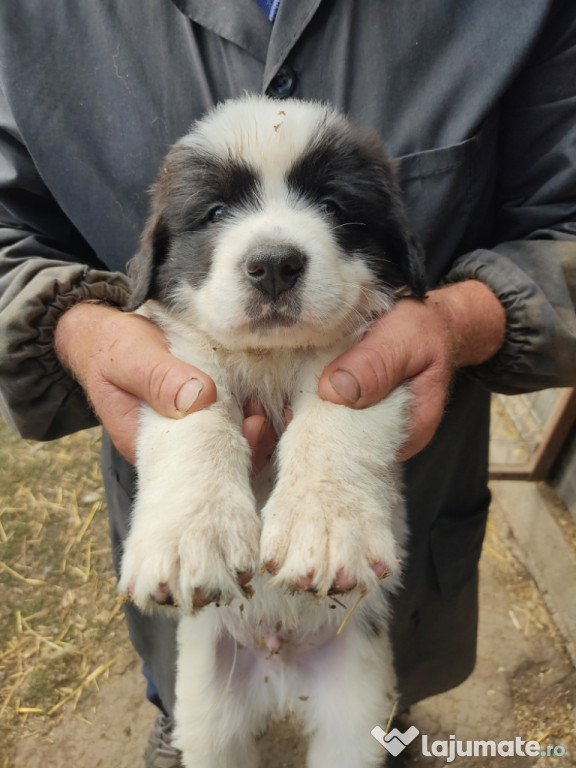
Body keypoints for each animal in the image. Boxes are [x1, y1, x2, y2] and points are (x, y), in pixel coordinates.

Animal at [119, 96, 426, 768]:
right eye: (214, 213)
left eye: (334, 206)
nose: (276, 266)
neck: (274, 358)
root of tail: (281, 669)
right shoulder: (184, 360)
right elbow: (197, 415)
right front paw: (191, 533)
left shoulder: (363, 358)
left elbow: (335, 416)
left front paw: (328, 527)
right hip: (208, 711)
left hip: (355, 708)